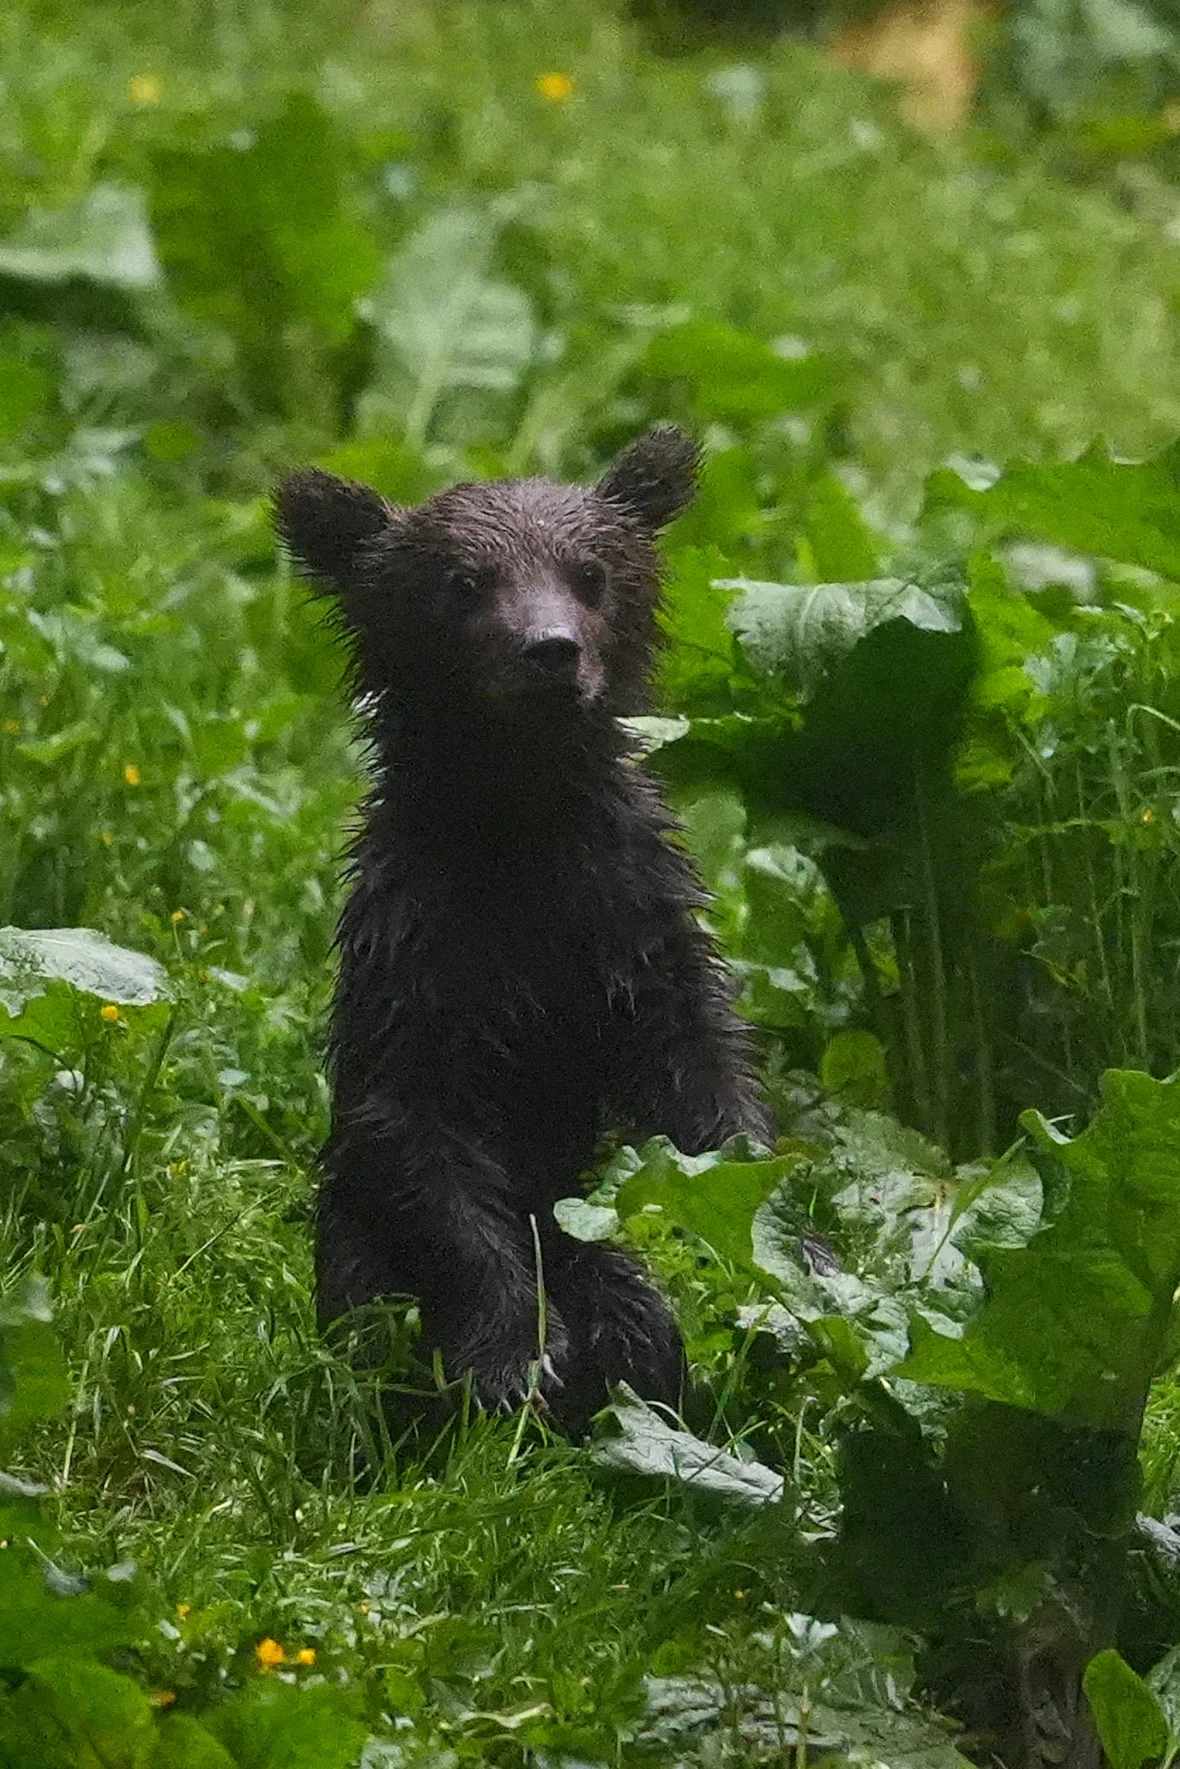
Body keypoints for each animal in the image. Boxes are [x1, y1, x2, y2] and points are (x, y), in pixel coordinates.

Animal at [275, 426, 771, 1433]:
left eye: (591, 572)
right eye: (464, 580)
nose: (551, 652)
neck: (521, 831)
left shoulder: (629, 919)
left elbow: (710, 1100)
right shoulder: (422, 947)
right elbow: (424, 1148)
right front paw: (511, 1356)